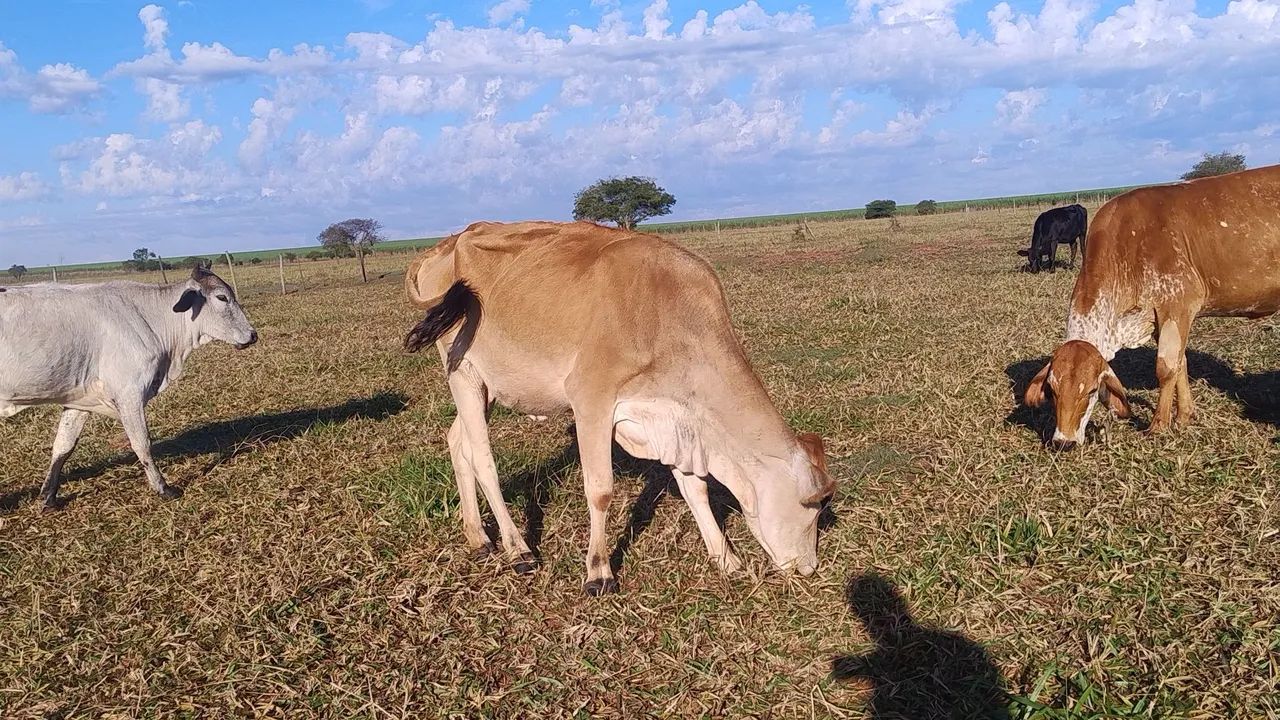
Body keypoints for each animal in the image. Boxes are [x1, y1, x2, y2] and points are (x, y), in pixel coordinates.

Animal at [0, 267, 258, 507]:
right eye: (222, 297)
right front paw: (163, 488)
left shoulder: (79, 400)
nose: (253, 335)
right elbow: (142, 443)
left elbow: (63, 447)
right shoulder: (129, 394)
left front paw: (48, 498)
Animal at [403, 221, 836, 595]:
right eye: (813, 504)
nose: (809, 567)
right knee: (483, 459)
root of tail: (450, 242)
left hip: (486, 387)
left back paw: (478, 537)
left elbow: (695, 488)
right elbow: (601, 490)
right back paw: (518, 548)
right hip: (463, 373)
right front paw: (599, 572)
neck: (666, 313)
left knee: (457, 442)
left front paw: (725, 558)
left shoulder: (678, 420)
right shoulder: (591, 399)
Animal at [1024, 165, 1280, 448]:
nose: (1063, 441)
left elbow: (1166, 368)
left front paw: (1159, 425)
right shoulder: (1159, 317)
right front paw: (1184, 416)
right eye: (1052, 390)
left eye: (1091, 390)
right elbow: (1181, 363)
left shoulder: (1178, 306)